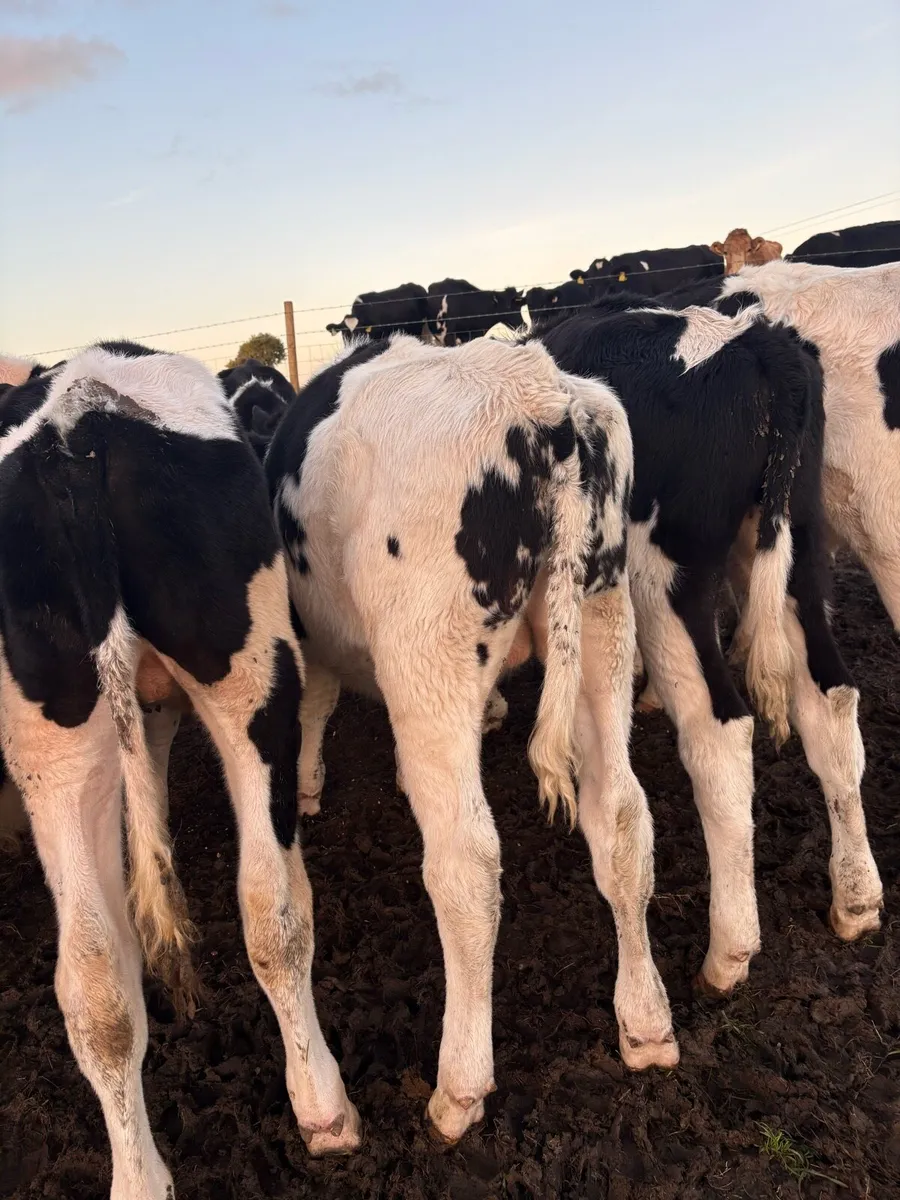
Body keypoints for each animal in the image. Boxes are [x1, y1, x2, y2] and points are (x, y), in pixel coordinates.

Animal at [0, 342, 360, 1199]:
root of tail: (78, 431)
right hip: (254, 683)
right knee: (273, 911)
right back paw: (323, 1107)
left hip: (52, 746)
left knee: (95, 982)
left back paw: (140, 1177)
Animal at [265, 333, 678, 1144]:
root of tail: (541, 394)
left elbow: (314, 703)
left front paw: (306, 784)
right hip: (603, 615)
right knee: (621, 816)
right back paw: (645, 1020)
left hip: (428, 657)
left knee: (467, 865)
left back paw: (459, 1086)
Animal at [529, 300, 883, 996]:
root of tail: (756, 344)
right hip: (799, 549)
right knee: (830, 699)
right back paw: (857, 898)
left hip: (666, 579)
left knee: (720, 733)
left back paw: (729, 952)